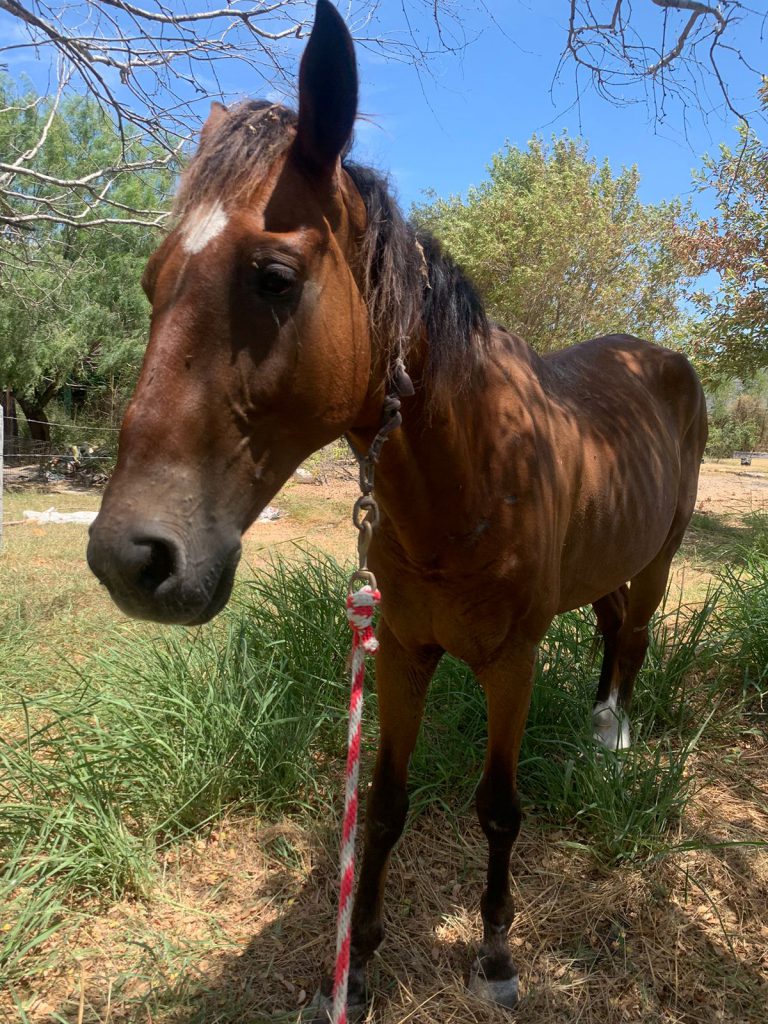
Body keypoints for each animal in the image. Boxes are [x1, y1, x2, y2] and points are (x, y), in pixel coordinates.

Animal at [85, 0, 708, 1007]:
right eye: (151, 281)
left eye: (273, 276)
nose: (129, 559)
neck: (474, 472)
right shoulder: (407, 654)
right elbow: (382, 805)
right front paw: (358, 960)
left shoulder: (510, 663)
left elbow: (498, 809)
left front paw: (495, 953)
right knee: (613, 621)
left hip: (659, 558)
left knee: (638, 635)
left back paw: (613, 735)